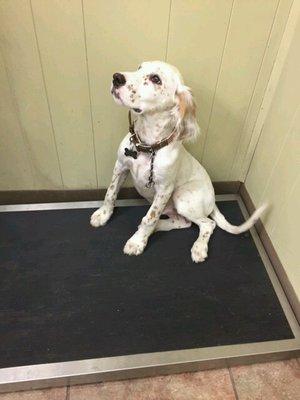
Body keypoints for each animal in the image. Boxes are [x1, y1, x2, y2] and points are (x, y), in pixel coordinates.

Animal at [89, 60, 264, 262]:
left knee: (207, 224)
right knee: (183, 223)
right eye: (139, 67)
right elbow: (110, 193)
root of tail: (213, 200)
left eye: (156, 79)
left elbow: (149, 218)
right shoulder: (120, 167)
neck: (148, 146)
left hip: (182, 197)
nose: (116, 78)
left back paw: (198, 248)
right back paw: (158, 228)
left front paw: (137, 242)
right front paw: (103, 215)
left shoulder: (164, 189)